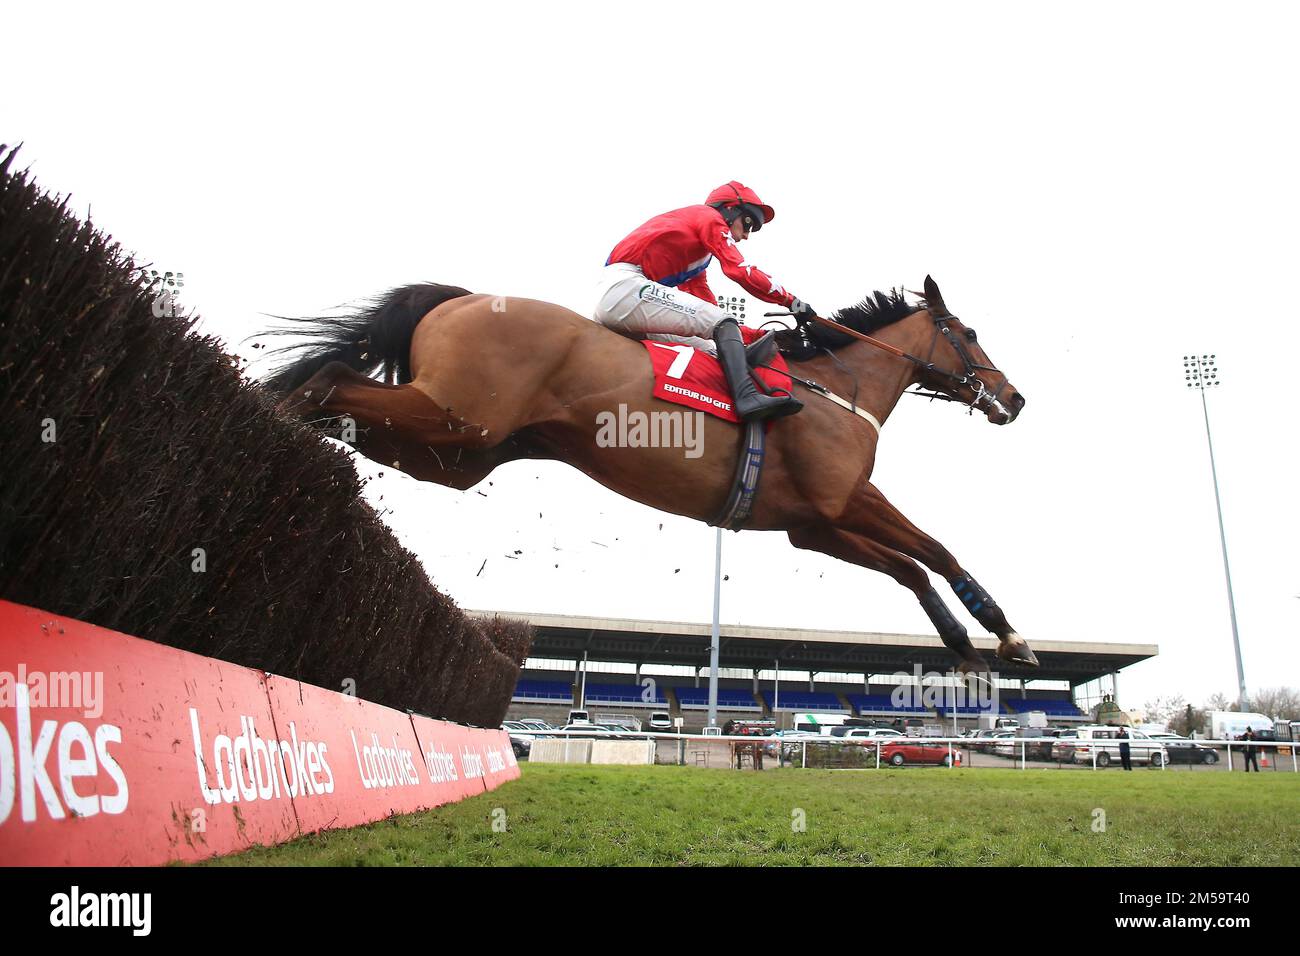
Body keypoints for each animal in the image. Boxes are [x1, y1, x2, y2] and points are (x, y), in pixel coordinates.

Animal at [263, 277, 1034, 676]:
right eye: (968, 333)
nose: (1015, 397)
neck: (836, 388)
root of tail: (462, 297)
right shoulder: (846, 499)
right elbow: (936, 551)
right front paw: (1004, 634)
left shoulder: (812, 525)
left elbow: (910, 568)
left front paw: (962, 643)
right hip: (457, 417)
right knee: (331, 379)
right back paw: (276, 432)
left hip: (456, 450)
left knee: (343, 405)